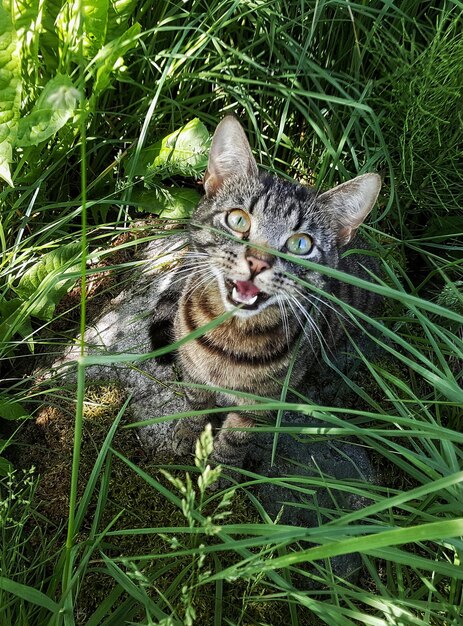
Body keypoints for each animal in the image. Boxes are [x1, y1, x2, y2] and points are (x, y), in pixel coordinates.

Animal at [150, 116, 382, 478]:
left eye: (301, 244)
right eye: (238, 219)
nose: (258, 262)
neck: (229, 338)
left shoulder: (263, 401)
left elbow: (236, 438)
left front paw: (223, 474)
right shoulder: (193, 373)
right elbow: (194, 402)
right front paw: (188, 433)